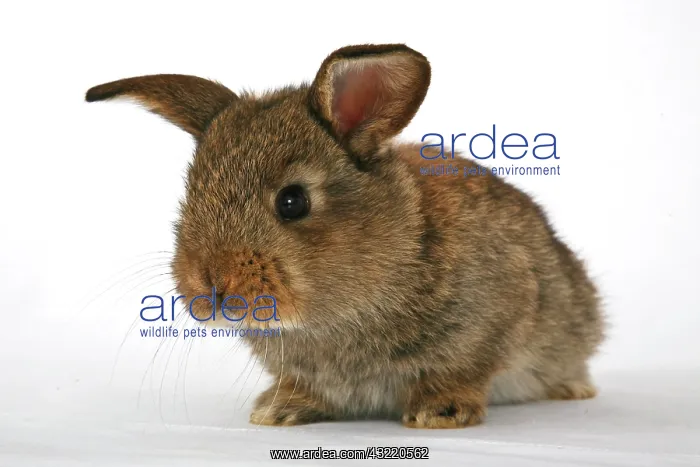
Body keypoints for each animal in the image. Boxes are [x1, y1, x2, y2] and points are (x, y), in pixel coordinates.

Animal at [86, 43, 605, 429]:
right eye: (190, 195)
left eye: (292, 201)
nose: (209, 283)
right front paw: (277, 410)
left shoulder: (494, 319)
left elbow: (463, 370)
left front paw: (438, 413)